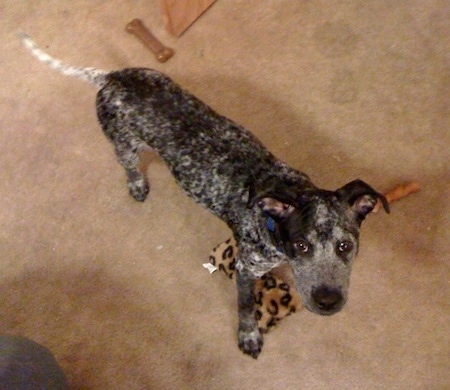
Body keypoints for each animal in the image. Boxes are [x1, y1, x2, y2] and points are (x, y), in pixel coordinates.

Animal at [21, 34, 388, 360]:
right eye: (301, 245)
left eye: (346, 246)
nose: (328, 301)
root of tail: (111, 77)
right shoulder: (246, 269)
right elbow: (246, 308)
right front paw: (249, 335)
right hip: (124, 146)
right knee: (129, 166)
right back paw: (137, 184)